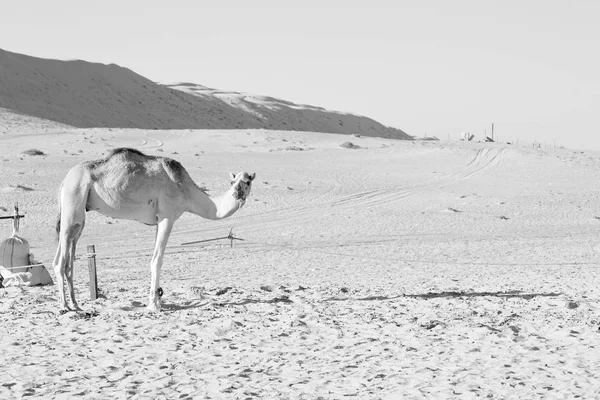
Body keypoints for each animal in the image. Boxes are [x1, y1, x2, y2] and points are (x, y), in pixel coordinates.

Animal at [52, 147, 255, 312]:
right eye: (233, 182)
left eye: (248, 182)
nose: (238, 192)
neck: (186, 191)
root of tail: (64, 180)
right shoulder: (167, 216)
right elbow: (157, 260)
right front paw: (154, 305)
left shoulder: (158, 220)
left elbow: (155, 258)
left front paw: (155, 301)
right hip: (73, 202)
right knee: (60, 260)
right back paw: (64, 306)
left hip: (79, 216)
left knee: (69, 256)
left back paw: (76, 304)